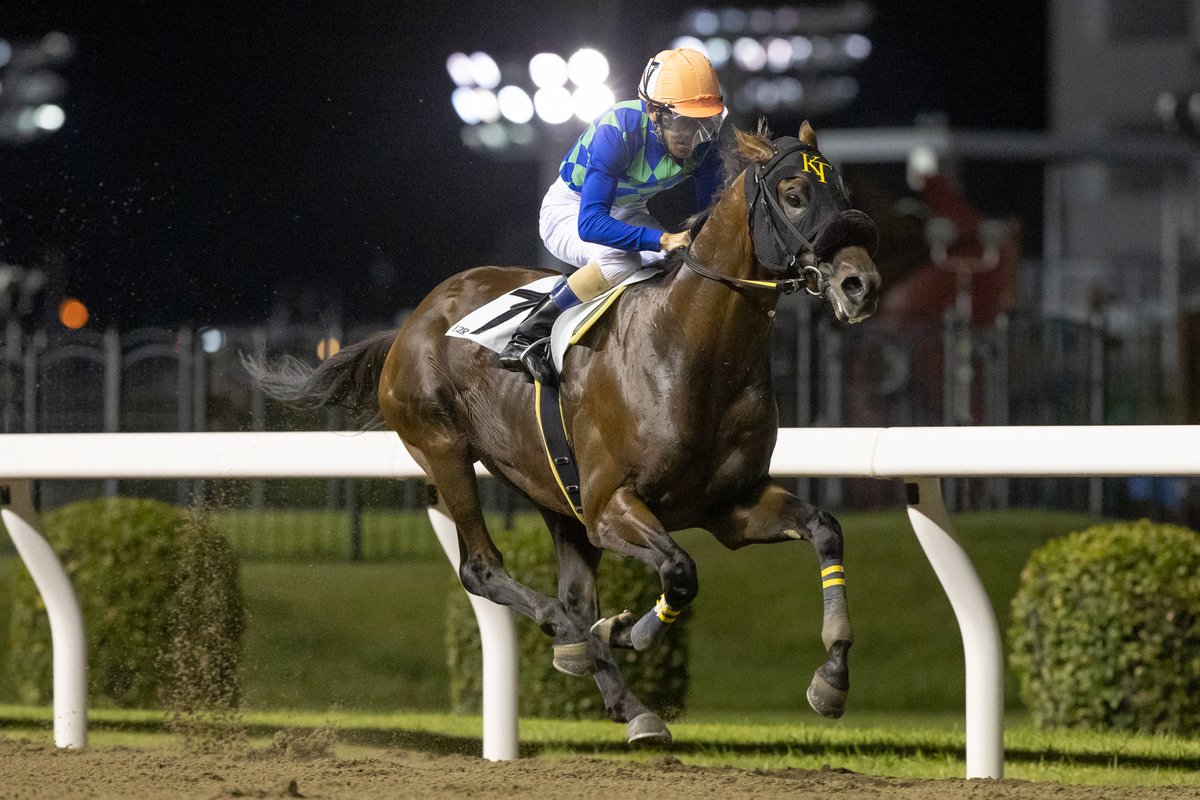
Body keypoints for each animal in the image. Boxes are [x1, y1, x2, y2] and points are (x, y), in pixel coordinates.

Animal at [248, 121, 882, 744]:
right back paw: (570, 635)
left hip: (551, 488)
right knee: (486, 570)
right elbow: (679, 571)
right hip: (444, 449)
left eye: (843, 192)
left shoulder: (730, 505)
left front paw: (832, 677)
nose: (862, 284)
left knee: (574, 594)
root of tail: (409, 324)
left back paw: (628, 702)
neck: (689, 351)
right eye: (795, 194)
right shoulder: (610, 506)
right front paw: (631, 631)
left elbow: (825, 531)